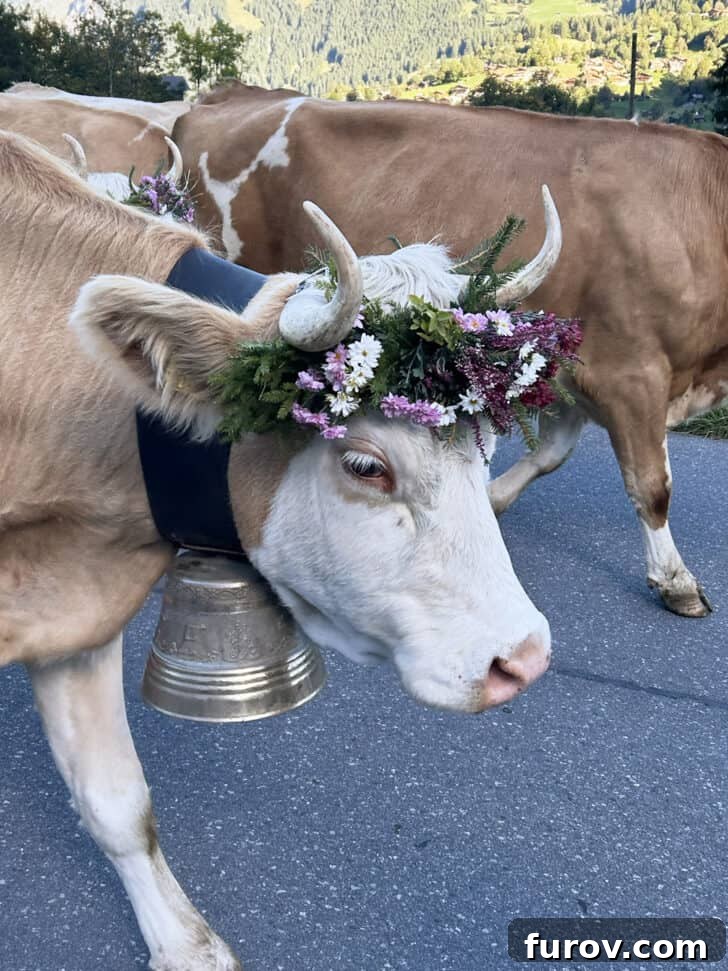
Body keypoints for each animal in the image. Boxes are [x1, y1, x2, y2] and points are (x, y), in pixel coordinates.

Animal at [1, 129, 558, 970]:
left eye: (488, 440)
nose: (522, 657)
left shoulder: (76, 610)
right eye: (365, 463)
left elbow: (118, 801)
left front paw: (184, 944)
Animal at [172, 83, 728, 618]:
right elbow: (652, 485)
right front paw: (676, 581)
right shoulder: (630, 371)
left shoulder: (575, 373)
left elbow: (550, 454)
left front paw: (491, 499)